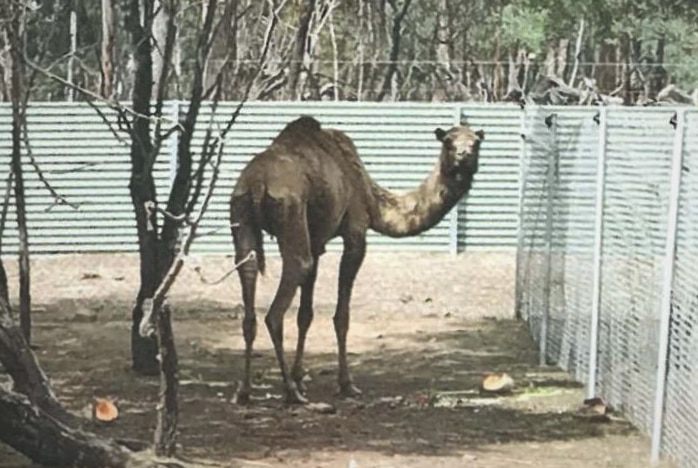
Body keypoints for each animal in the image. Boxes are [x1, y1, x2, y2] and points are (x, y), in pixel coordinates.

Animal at [231, 115, 482, 404]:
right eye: (449, 142)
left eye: (476, 143)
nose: (463, 156)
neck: (370, 195)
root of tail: (257, 183)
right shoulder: (356, 231)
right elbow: (342, 316)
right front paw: (345, 384)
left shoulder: (316, 240)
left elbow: (305, 314)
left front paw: (301, 378)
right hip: (291, 211)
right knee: (281, 300)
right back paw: (291, 392)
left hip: (241, 212)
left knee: (248, 276)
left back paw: (244, 390)